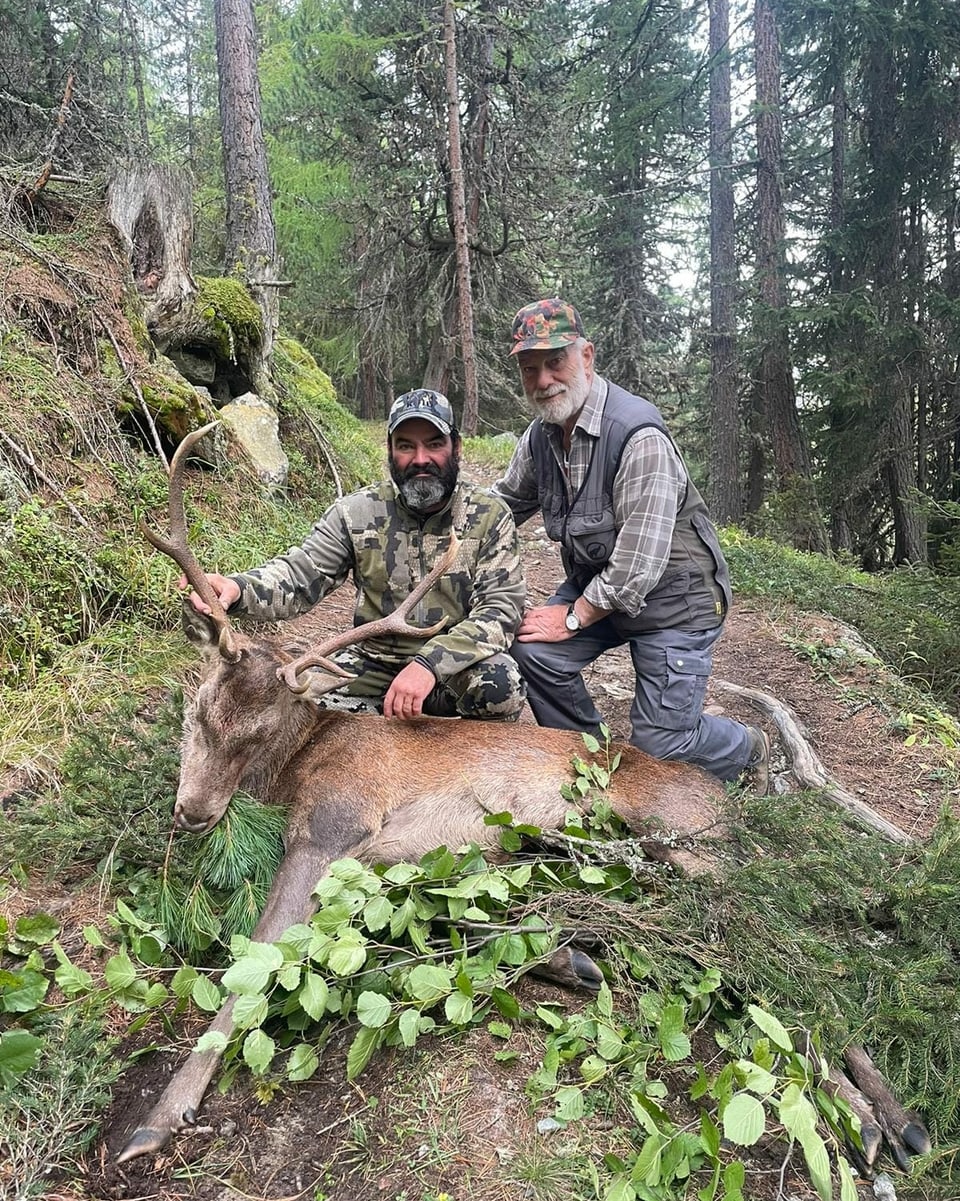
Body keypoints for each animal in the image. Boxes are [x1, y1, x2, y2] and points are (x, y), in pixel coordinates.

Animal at [118, 425, 932, 1172]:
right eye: (199, 709)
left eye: (258, 732)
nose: (192, 810)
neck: (298, 765)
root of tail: (734, 813)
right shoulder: (409, 854)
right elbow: (453, 923)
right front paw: (568, 959)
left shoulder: (333, 823)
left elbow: (245, 971)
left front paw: (156, 1118)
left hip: (687, 836)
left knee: (800, 962)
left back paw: (886, 1123)